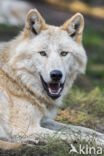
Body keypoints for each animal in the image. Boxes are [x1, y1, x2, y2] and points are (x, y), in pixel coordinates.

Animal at [0, 9, 87, 149]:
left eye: (64, 53)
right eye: (42, 53)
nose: (56, 74)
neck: (19, 81)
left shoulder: (44, 120)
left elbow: (82, 130)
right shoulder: (25, 128)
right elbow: (74, 135)